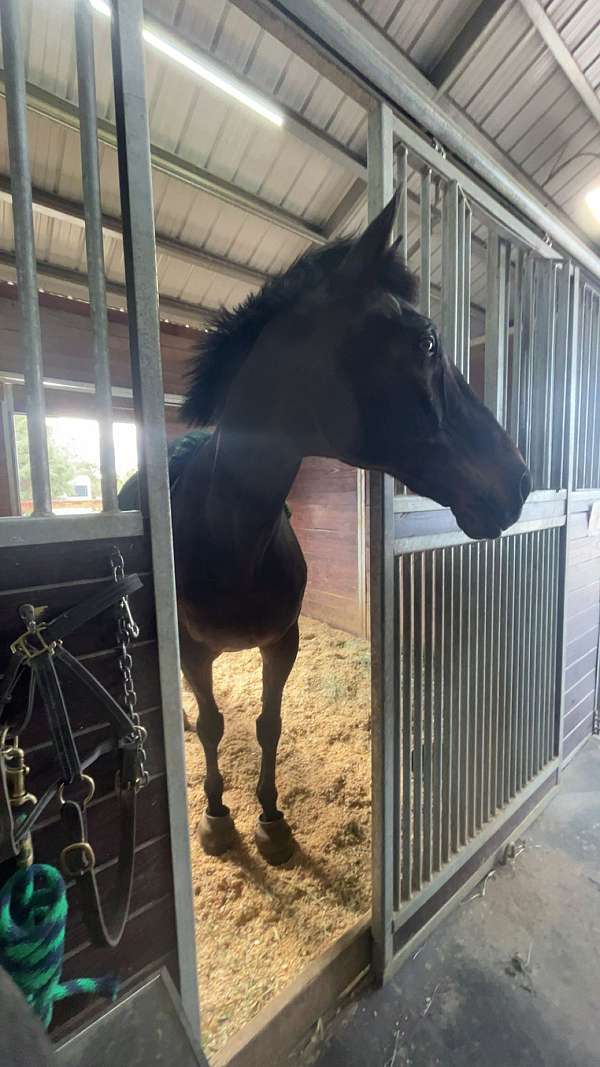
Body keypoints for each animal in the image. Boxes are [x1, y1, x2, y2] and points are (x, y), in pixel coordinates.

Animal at [120, 194, 531, 865]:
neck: (229, 539)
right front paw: (217, 816)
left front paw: (271, 818)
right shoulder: (198, 651)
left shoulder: (282, 642)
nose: (519, 481)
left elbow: (268, 724)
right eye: (427, 341)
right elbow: (214, 725)